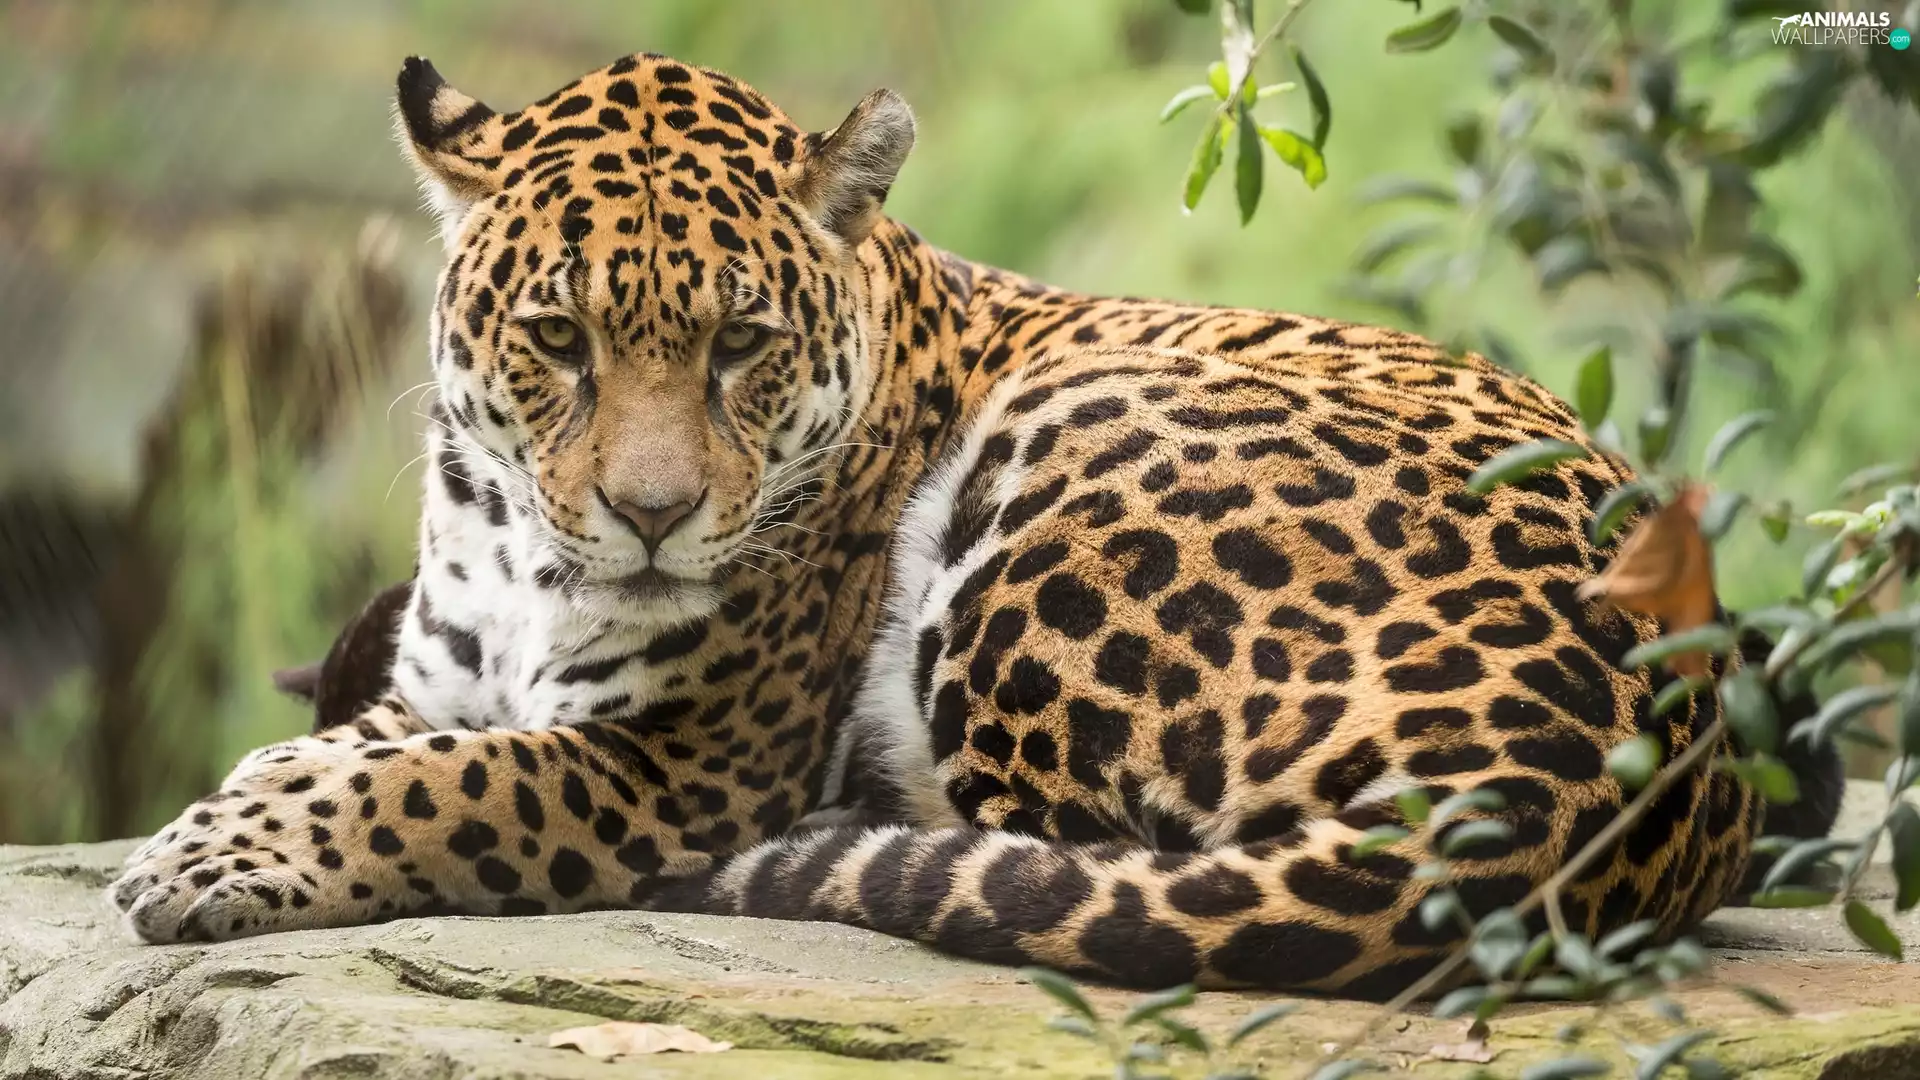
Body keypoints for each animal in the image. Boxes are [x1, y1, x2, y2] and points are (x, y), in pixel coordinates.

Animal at [108, 51, 1839, 998]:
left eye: (741, 345)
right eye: (559, 340)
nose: (654, 518)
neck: (514, 545)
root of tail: (1602, 787)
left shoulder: (683, 765)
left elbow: (454, 787)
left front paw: (214, 854)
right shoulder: (437, 678)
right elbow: (360, 746)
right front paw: (234, 808)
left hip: (1067, 464)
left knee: (1058, 847)